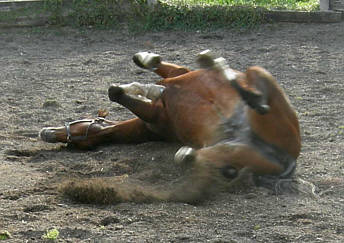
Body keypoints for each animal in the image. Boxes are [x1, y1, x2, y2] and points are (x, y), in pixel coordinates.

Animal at [39, 51, 300, 205]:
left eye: (77, 137)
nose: (47, 133)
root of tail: (288, 161)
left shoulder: (172, 85)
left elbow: (129, 83)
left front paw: (148, 74)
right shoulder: (157, 115)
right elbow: (127, 89)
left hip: (258, 78)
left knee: (255, 97)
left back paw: (217, 67)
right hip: (234, 148)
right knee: (200, 157)